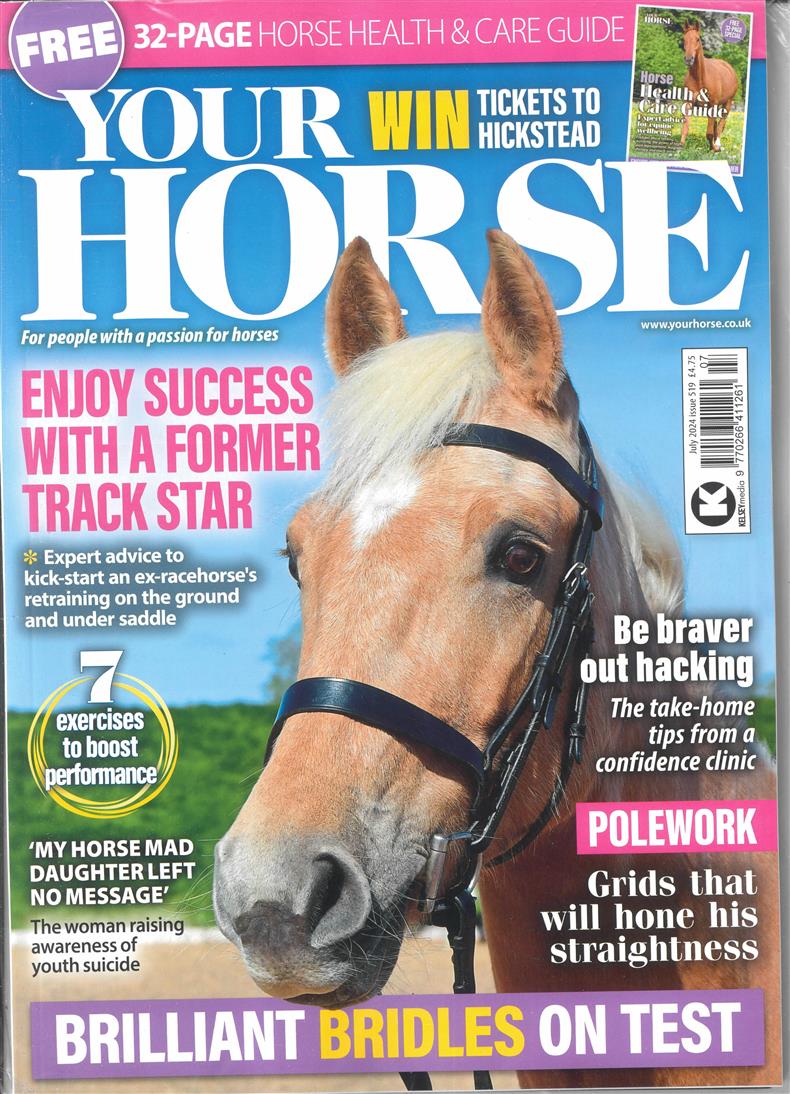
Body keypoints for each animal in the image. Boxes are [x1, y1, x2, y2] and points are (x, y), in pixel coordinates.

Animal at [679, 20, 739, 153]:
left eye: (697, 39)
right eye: (684, 39)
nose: (689, 59)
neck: (700, 78)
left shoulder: (713, 104)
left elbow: (709, 132)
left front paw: (714, 148)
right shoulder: (688, 103)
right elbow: (685, 127)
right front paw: (679, 148)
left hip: (727, 103)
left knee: (721, 123)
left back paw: (717, 145)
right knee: (717, 124)